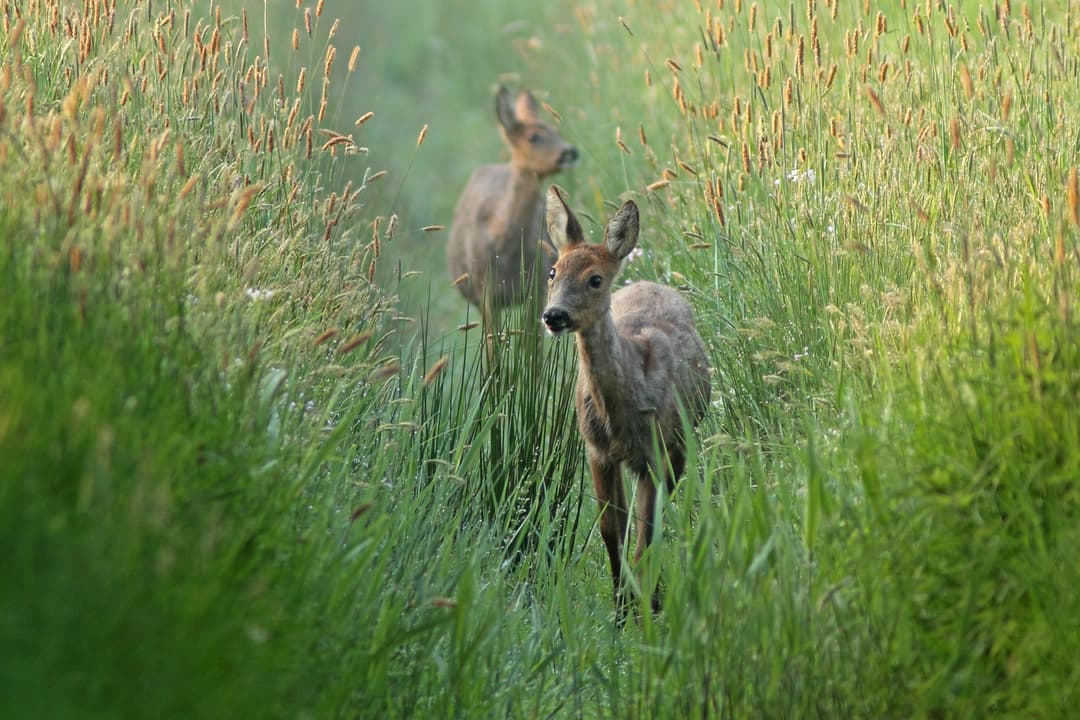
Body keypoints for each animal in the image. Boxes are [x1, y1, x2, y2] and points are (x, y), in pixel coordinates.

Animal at [449, 84, 583, 343]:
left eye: (557, 130)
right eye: (533, 137)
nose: (570, 152)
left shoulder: (537, 288)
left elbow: (531, 344)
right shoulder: (486, 293)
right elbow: (493, 346)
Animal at [544, 187, 712, 626]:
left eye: (595, 279)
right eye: (553, 271)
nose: (554, 315)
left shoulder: (653, 450)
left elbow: (644, 532)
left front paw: (644, 609)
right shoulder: (597, 451)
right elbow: (611, 527)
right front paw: (620, 609)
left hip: (681, 439)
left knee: (662, 506)